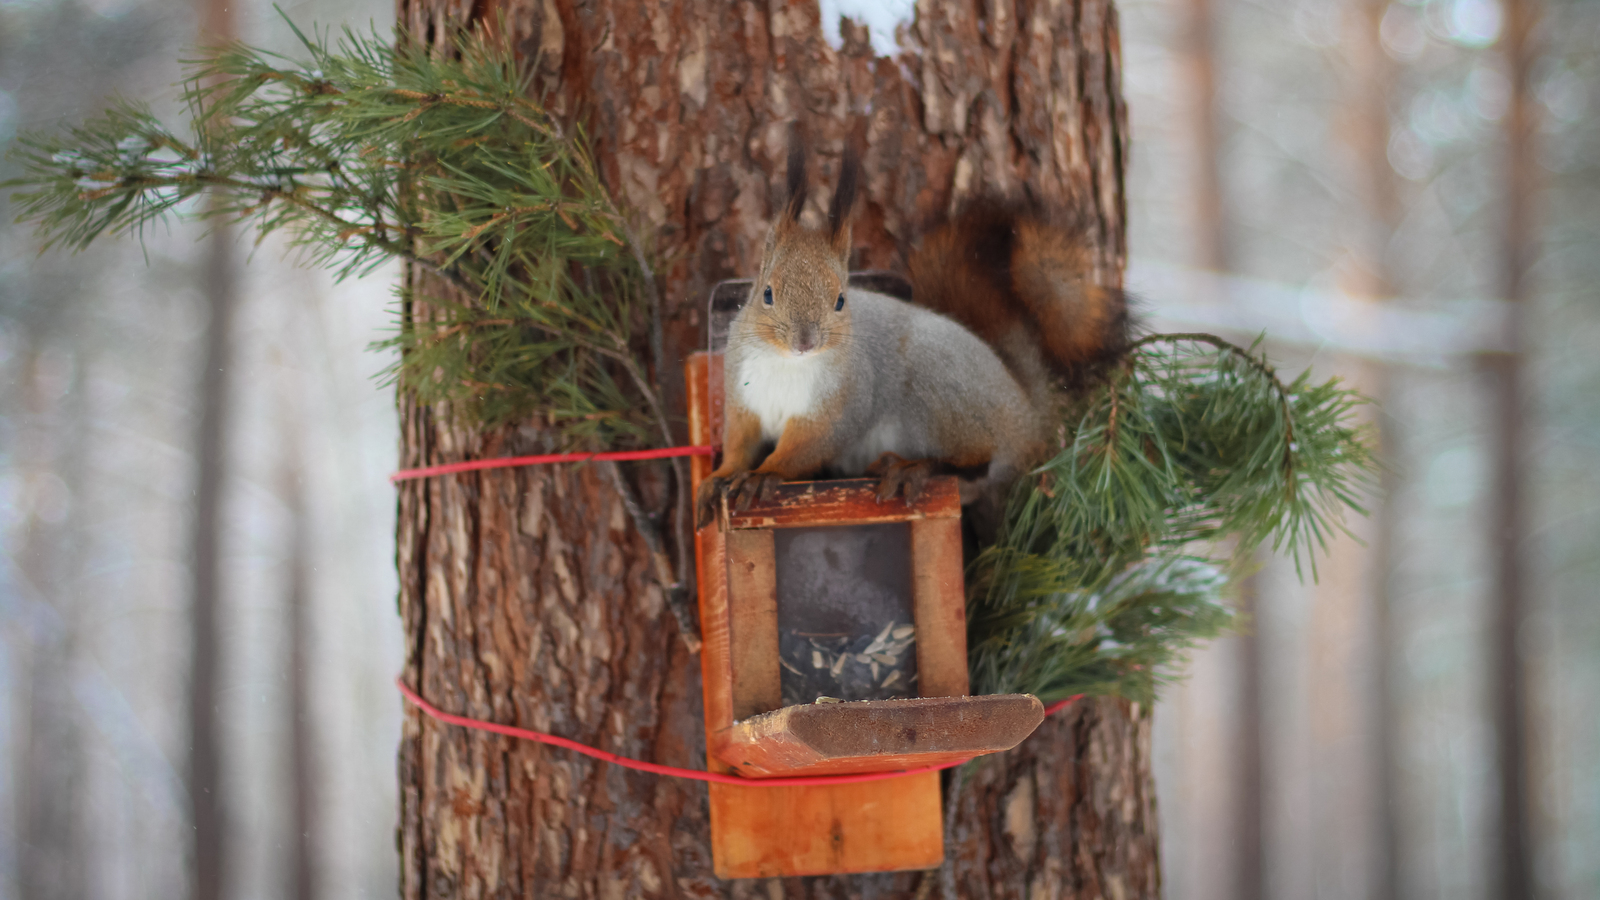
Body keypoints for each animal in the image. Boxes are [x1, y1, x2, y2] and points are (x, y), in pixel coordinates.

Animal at [694, 139, 1132, 531]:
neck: (786, 365)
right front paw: (723, 476)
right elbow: (740, 441)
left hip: (939, 392)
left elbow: (808, 446)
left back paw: (912, 467)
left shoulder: (841, 404)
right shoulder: (744, 397)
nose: (805, 342)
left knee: (977, 464)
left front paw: (766, 474)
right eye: (766, 293)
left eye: (840, 300)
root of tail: (1025, 411)